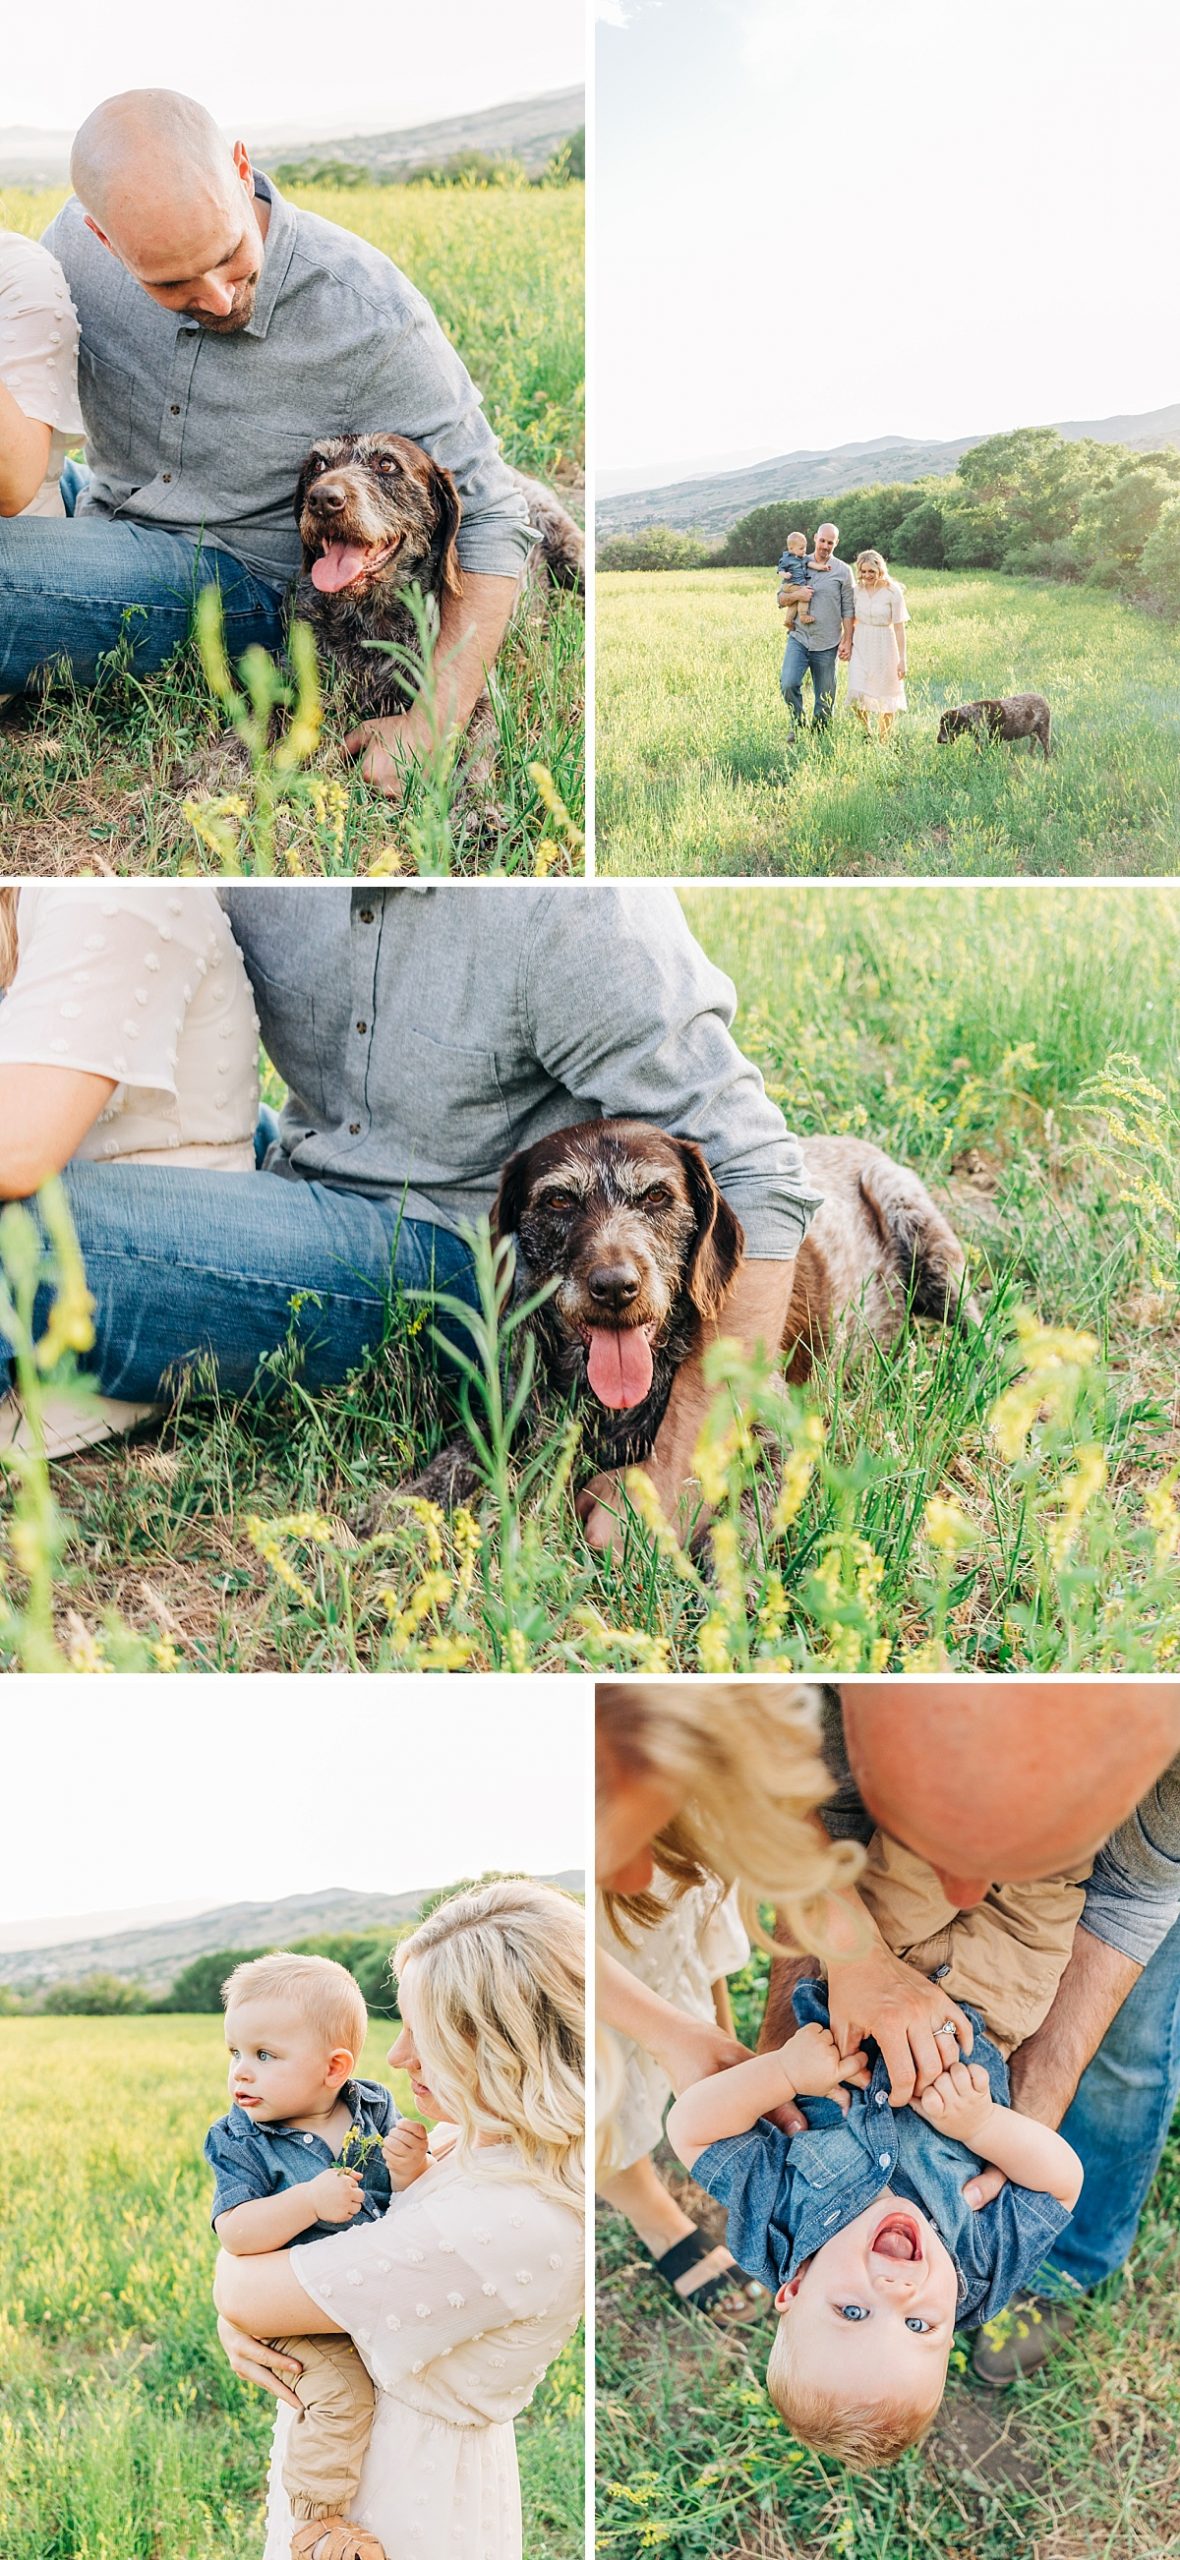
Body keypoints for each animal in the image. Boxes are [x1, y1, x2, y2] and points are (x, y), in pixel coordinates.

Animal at [409, 1116, 977, 1495]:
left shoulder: (774, 1438)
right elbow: (446, 1469)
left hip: (919, 1228)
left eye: (657, 1196)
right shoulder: (512, 1416)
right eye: (558, 1200)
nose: (615, 1287)